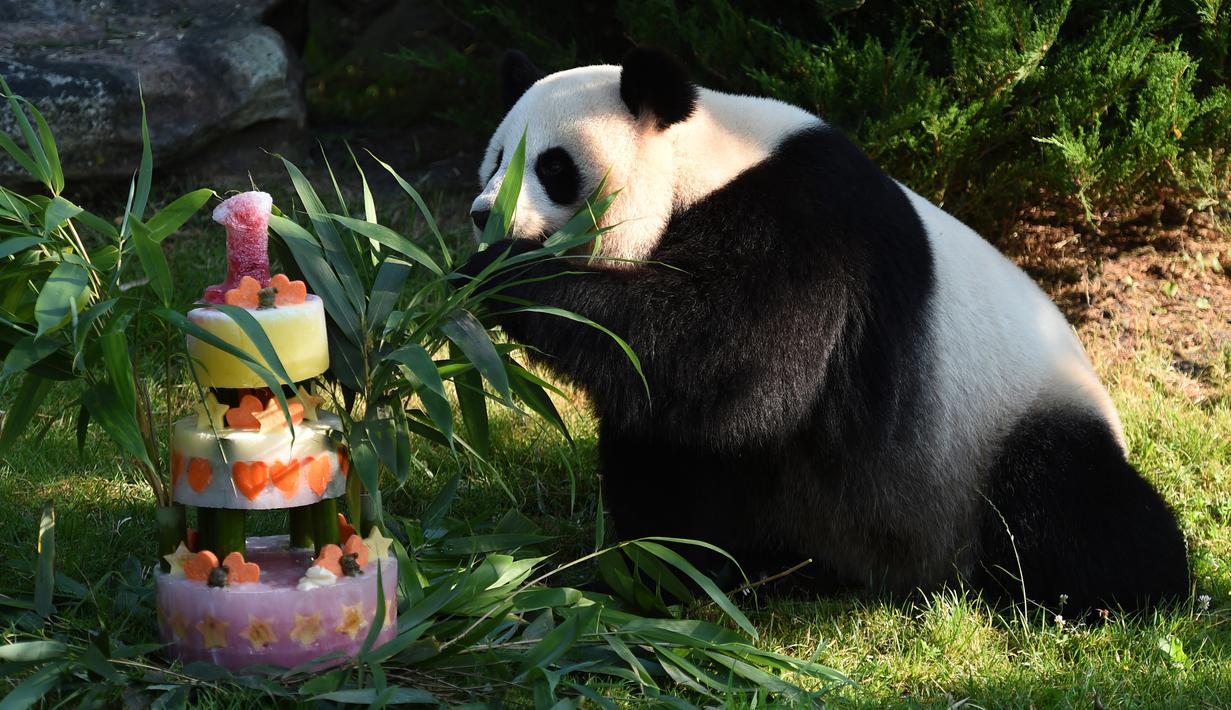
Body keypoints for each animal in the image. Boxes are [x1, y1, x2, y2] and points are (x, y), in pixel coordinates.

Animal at [460, 48, 1189, 613]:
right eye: (494, 159)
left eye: (552, 166)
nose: (480, 214)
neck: (701, 161)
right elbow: (671, 423)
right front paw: (666, 570)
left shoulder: (806, 221)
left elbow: (735, 361)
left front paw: (495, 276)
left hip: (1002, 428)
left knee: (1069, 501)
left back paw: (1130, 592)